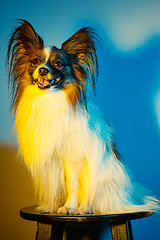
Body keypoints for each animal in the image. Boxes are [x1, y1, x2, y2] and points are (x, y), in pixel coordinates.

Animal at [7, 19, 159, 215]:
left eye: (58, 63)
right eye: (35, 61)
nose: (43, 70)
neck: (49, 99)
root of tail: (129, 197)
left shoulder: (73, 158)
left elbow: (72, 185)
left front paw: (69, 207)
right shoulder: (51, 161)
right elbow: (53, 187)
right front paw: (50, 206)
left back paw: (86, 209)